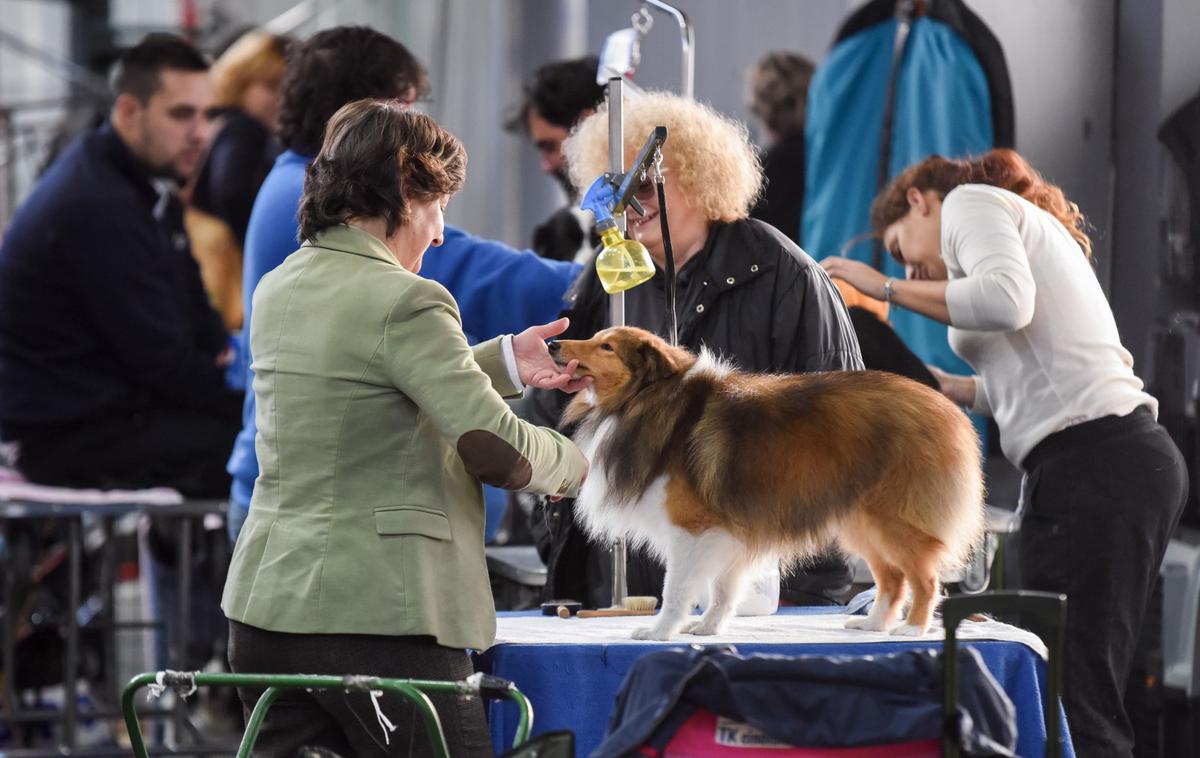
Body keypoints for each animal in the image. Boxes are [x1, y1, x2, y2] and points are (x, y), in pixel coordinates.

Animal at [552, 326, 984, 638]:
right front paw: (708, 628)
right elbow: (723, 589)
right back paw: (873, 624)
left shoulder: (691, 529)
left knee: (925, 578)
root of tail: (948, 410)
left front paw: (660, 632)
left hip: (893, 520)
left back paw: (913, 628)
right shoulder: (726, 532)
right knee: (893, 579)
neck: (650, 398)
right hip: (862, 522)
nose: (554, 342)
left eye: (607, 346)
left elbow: (675, 589)